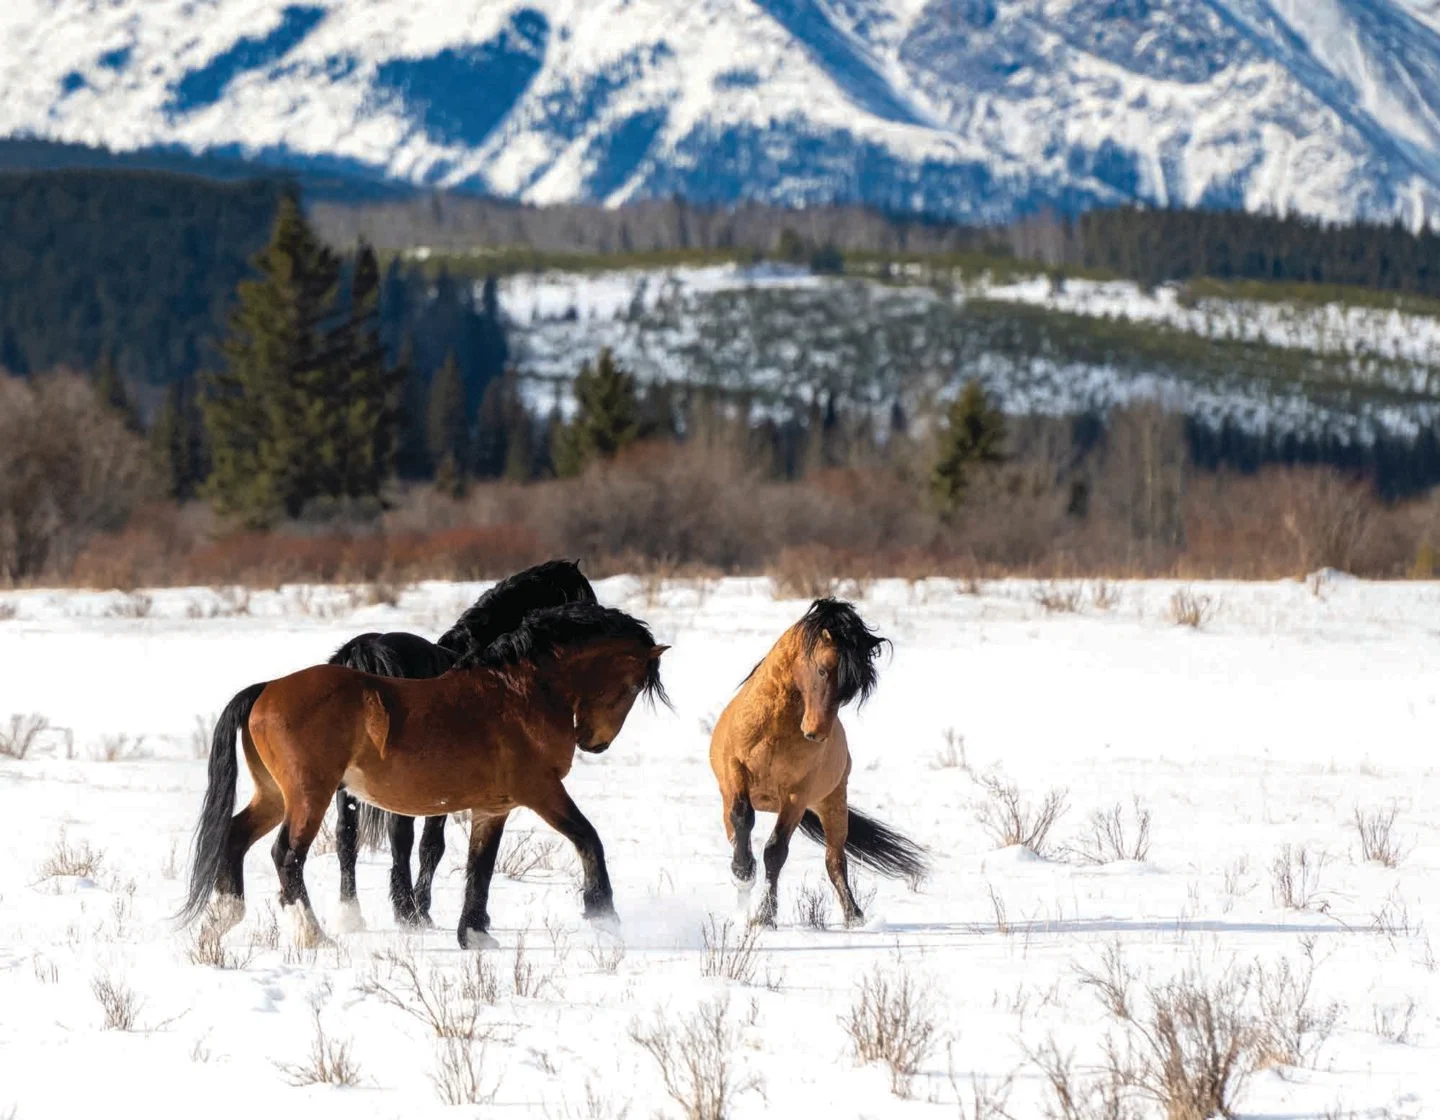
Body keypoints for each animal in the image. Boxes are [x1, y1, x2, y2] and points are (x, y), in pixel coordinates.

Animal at [179, 602, 669, 950]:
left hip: (274, 796)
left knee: (235, 836)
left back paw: (222, 920)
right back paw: (314, 936)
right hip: (308, 796)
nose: (594, 742)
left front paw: (474, 935)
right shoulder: (542, 791)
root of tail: (266, 689)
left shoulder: (493, 808)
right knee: (286, 855)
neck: (520, 694)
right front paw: (604, 915)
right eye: (631, 685)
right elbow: (588, 839)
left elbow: (480, 868)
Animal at [326, 558, 596, 929]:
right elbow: (431, 846)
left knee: (346, 837)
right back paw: (405, 911)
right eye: (581, 597)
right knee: (399, 837)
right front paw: (422, 910)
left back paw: (350, 914)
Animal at [708, 597, 927, 927]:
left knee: (835, 861)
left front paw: (765, 917)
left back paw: (854, 916)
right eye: (823, 671)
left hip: (833, 805)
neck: (774, 728)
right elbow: (743, 818)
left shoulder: (797, 795)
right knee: (736, 832)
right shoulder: (735, 770)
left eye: (851, 688)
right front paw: (743, 873)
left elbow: (775, 851)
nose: (816, 733)